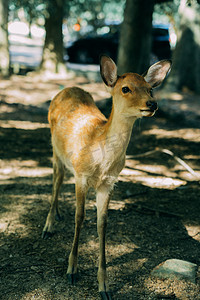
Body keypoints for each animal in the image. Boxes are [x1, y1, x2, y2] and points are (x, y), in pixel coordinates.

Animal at [41, 55, 171, 298]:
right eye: (126, 88)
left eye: (150, 89)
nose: (152, 104)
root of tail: (68, 88)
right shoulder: (81, 174)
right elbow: (80, 217)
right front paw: (72, 271)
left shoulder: (108, 183)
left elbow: (103, 223)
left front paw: (104, 287)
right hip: (55, 147)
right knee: (57, 178)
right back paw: (48, 227)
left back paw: (58, 216)